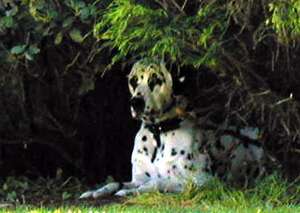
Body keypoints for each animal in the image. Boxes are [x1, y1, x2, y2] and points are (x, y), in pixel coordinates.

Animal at [80, 58, 264, 198]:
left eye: (155, 80)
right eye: (133, 80)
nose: (135, 102)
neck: (158, 133)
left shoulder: (202, 180)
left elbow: (157, 182)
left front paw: (135, 190)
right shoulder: (138, 178)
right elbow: (116, 182)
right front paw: (97, 191)